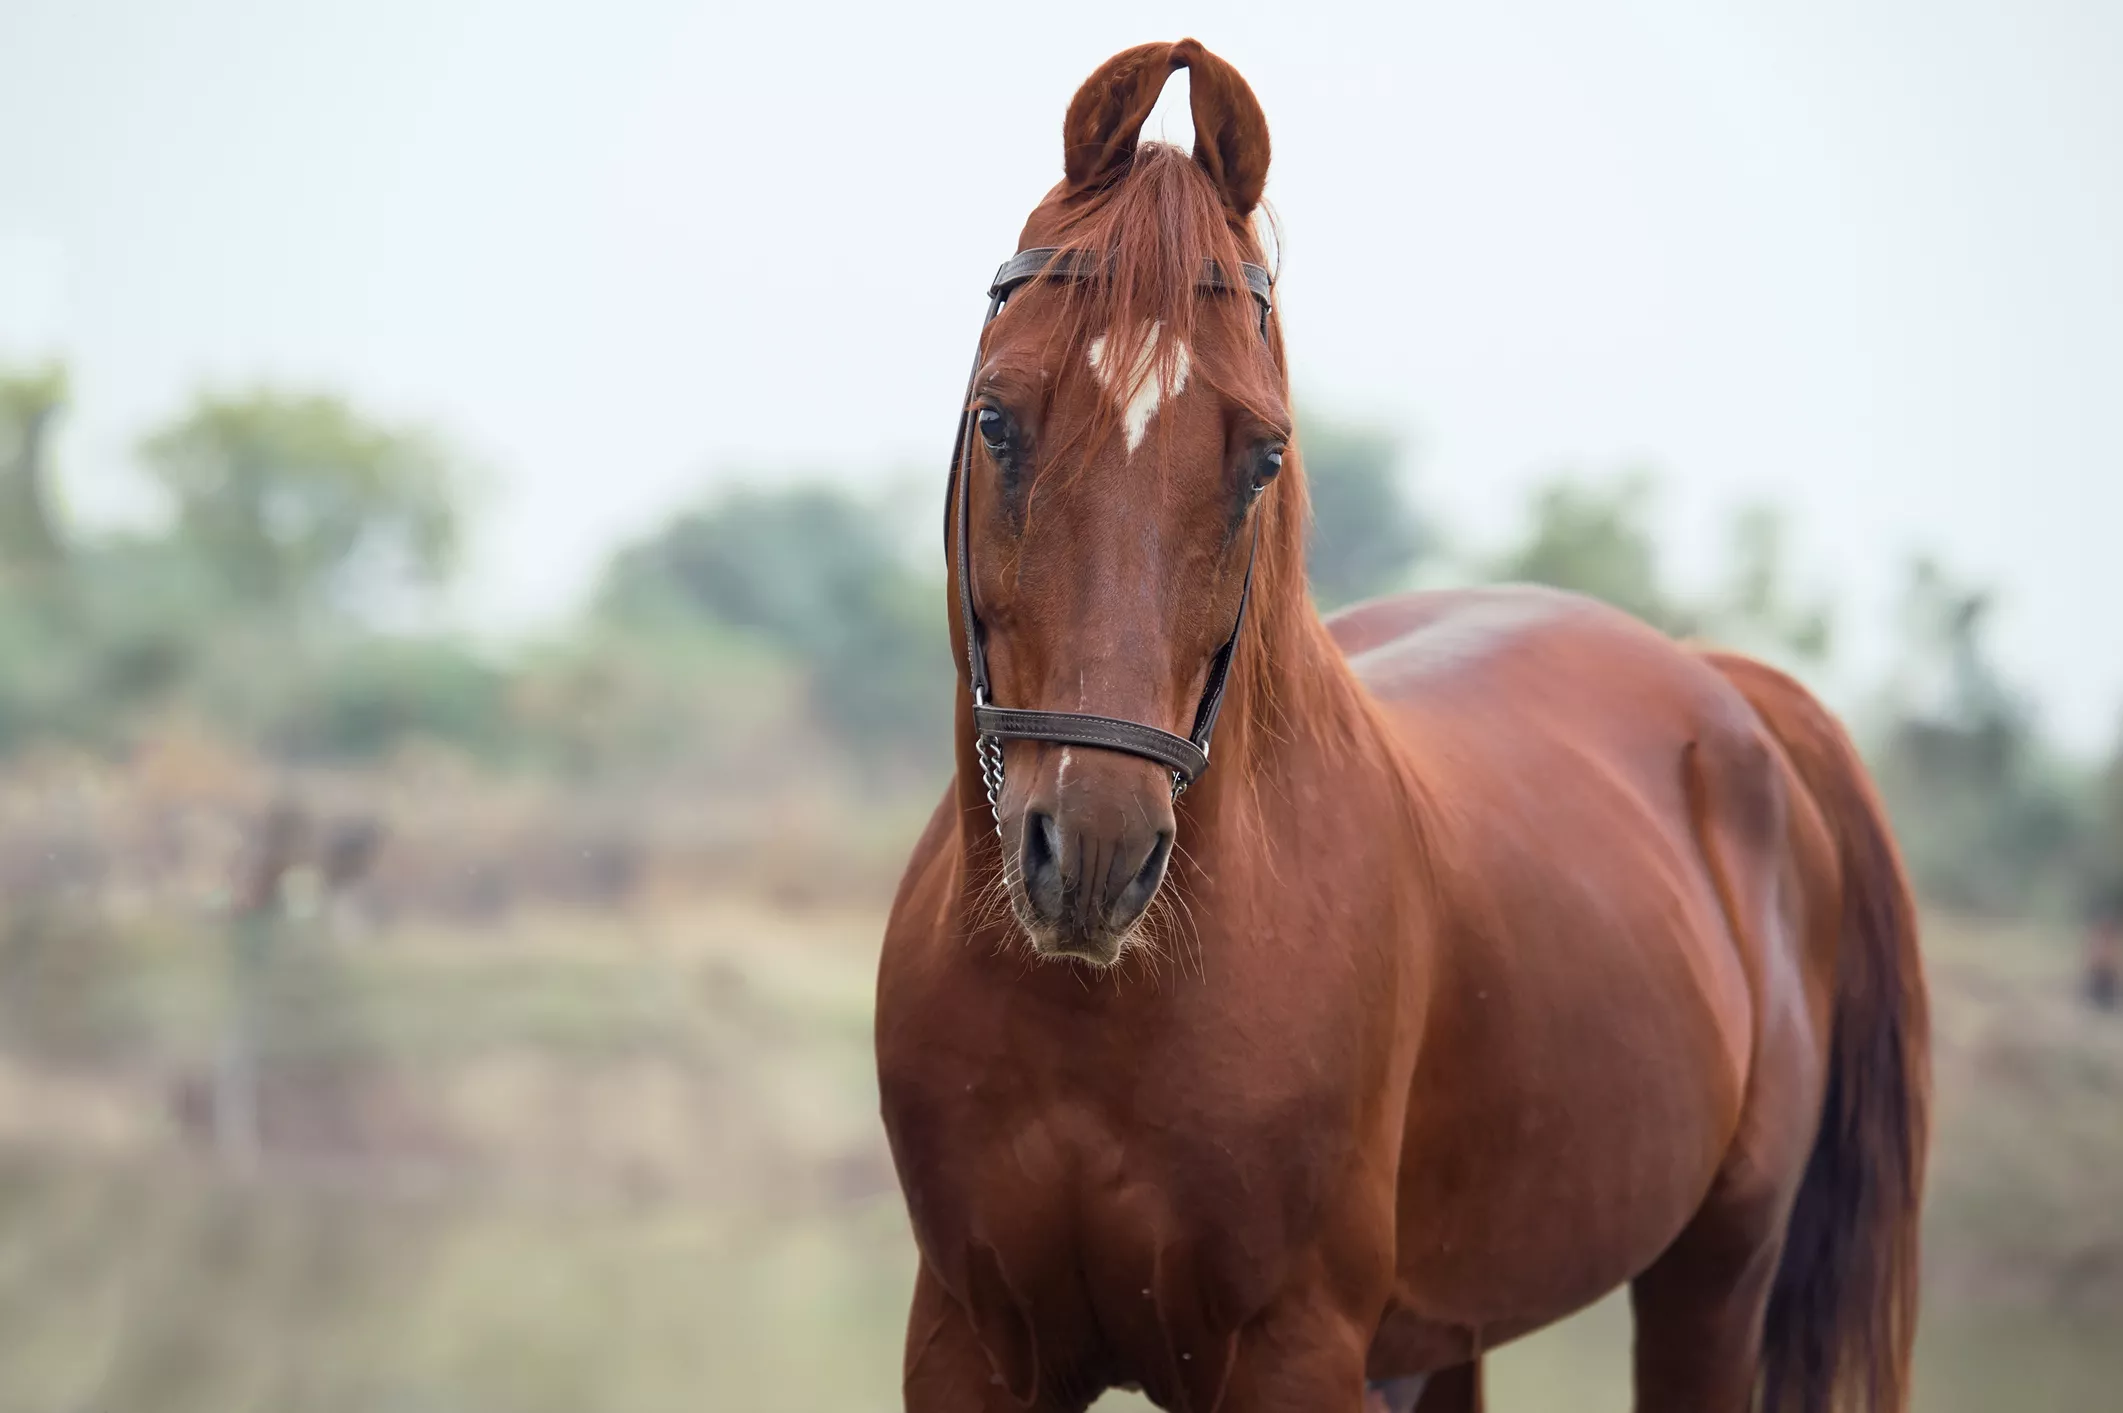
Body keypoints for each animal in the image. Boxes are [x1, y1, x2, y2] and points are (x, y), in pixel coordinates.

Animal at [876, 39, 1929, 1413]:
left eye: (1262, 458)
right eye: (997, 419)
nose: (1093, 853)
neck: (1094, 1020)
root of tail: (1723, 691)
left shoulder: (1296, 1354)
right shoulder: (967, 1342)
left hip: (1711, 1282)